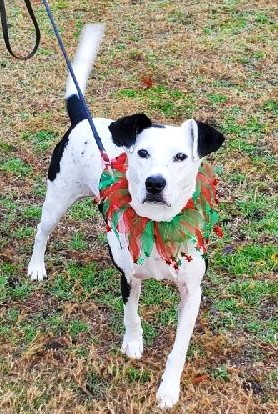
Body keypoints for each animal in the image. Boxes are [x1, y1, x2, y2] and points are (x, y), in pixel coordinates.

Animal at [27, 24, 224, 410]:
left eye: (181, 156)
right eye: (142, 153)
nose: (155, 183)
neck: (159, 223)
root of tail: (82, 121)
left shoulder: (192, 291)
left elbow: (179, 347)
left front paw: (169, 389)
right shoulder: (128, 274)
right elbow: (131, 312)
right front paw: (133, 342)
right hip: (57, 199)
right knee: (42, 232)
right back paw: (37, 266)